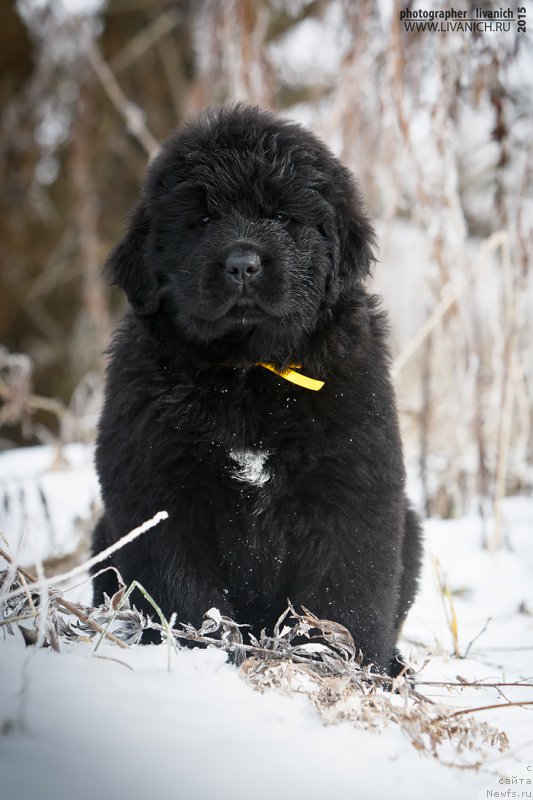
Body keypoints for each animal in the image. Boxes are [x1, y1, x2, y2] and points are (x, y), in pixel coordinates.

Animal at [93, 101, 422, 676]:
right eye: (202, 220)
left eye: (282, 217)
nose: (242, 264)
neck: (247, 371)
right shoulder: (158, 491)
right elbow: (185, 594)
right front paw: (208, 655)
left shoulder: (352, 488)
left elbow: (346, 594)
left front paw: (336, 664)